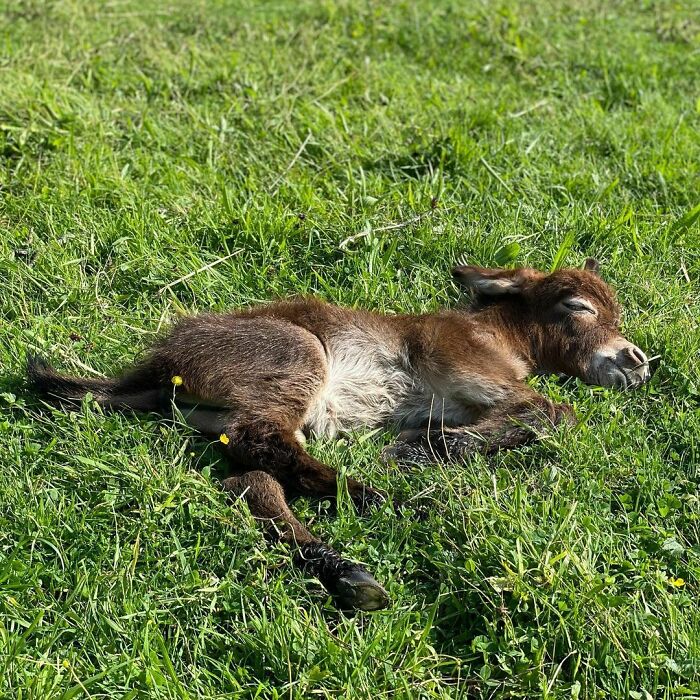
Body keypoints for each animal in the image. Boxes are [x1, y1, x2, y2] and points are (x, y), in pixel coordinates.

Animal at [27, 260, 652, 608]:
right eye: (578, 305)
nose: (638, 362)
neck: (496, 334)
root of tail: (157, 367)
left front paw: (429, 444)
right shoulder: (463, 368)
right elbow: (551, 412)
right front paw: (422, 450)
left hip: (226, 417)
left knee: (251, 479)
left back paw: (348, 573)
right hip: (298, 360)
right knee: (262, 443)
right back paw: (384, 501)